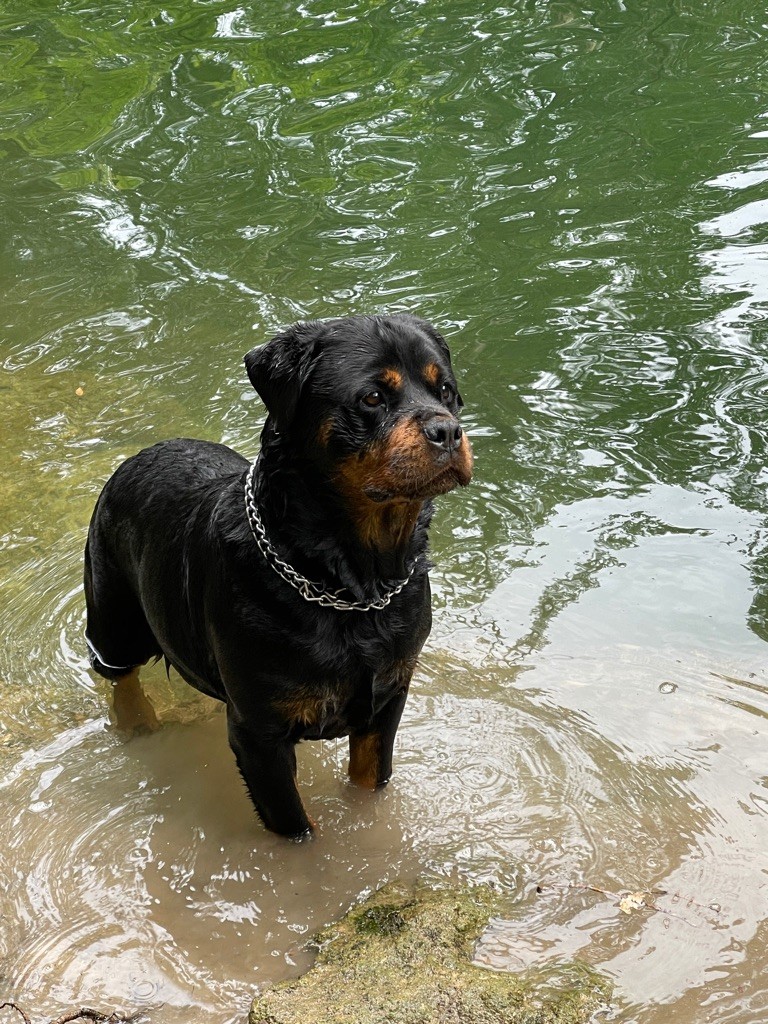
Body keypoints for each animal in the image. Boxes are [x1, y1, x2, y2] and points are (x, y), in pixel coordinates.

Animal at [82, 313, 468, 839]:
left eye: (445, 390)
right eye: (371, 397)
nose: (447, 431)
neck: (352, 583)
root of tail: (138, 455)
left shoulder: (388, 698)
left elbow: (370, 781)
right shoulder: (258, 735)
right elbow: (294, 827)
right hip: (113, 617)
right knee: (119, 675)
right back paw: (138, 723)